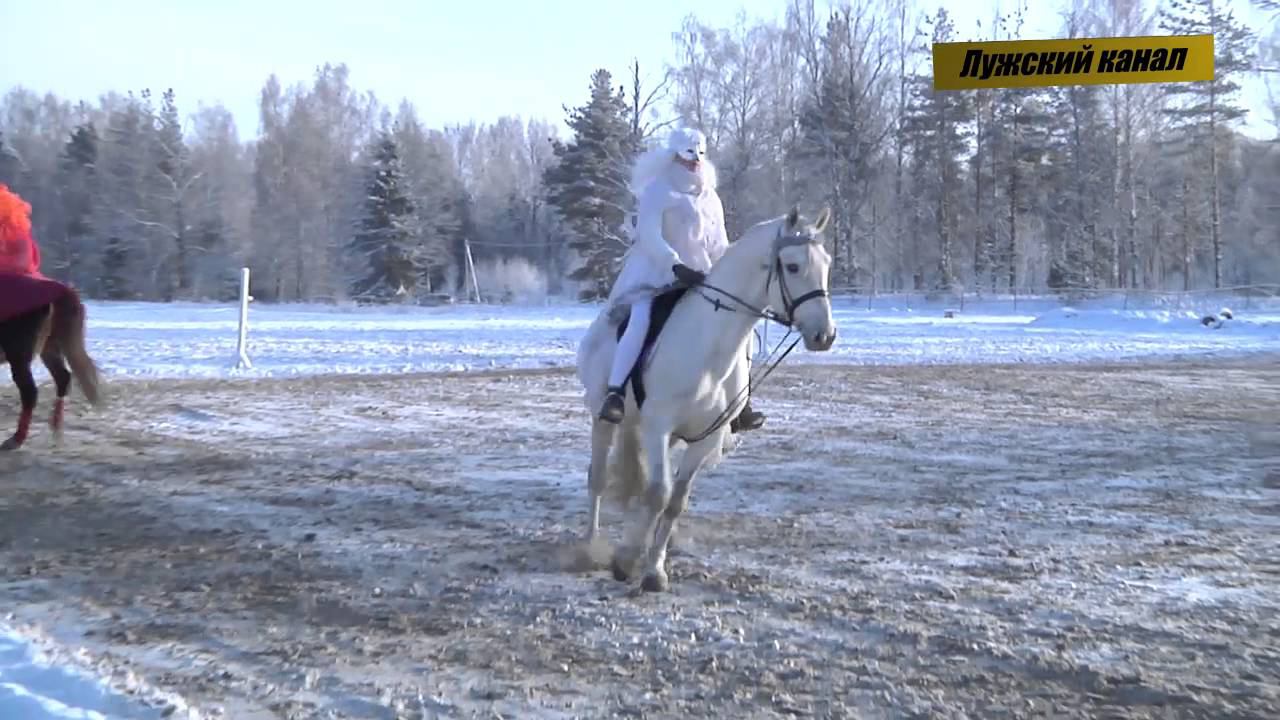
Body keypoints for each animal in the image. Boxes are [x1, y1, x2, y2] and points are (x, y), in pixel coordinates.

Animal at [0, 285, 101, 448]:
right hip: (49, 347)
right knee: (62, 378)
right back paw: (56, 426)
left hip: (18, 355)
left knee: (30, 392)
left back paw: (17, 438)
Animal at [573, 204, 834, 591]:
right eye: (792, 266)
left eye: (827, 263)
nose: (824, 336)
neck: (709, 349)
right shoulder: (657, 427)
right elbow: (658, 493)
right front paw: (628, 560)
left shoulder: (704, 438)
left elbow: (674, 501)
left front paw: (654, 568)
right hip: (602, 419)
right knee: (599, 477)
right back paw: (590, 546)